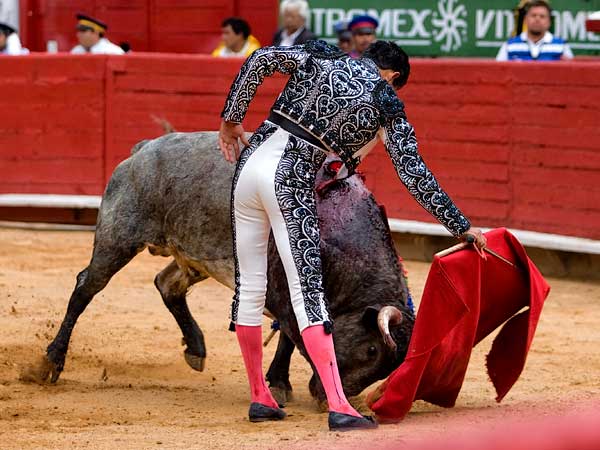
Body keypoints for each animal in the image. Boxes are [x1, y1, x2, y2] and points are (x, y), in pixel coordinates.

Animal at [37, 131, 414, 404]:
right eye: (372, 349)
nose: (325, 397)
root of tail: (142, 150)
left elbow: (289, 337)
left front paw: (279, 382)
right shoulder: (282, 290)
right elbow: (296, 334)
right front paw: (285, 387)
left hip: (194, 256)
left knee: (166, 284)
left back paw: (195, 348)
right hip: (117, 239)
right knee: (86, 287)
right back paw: (51, 362)